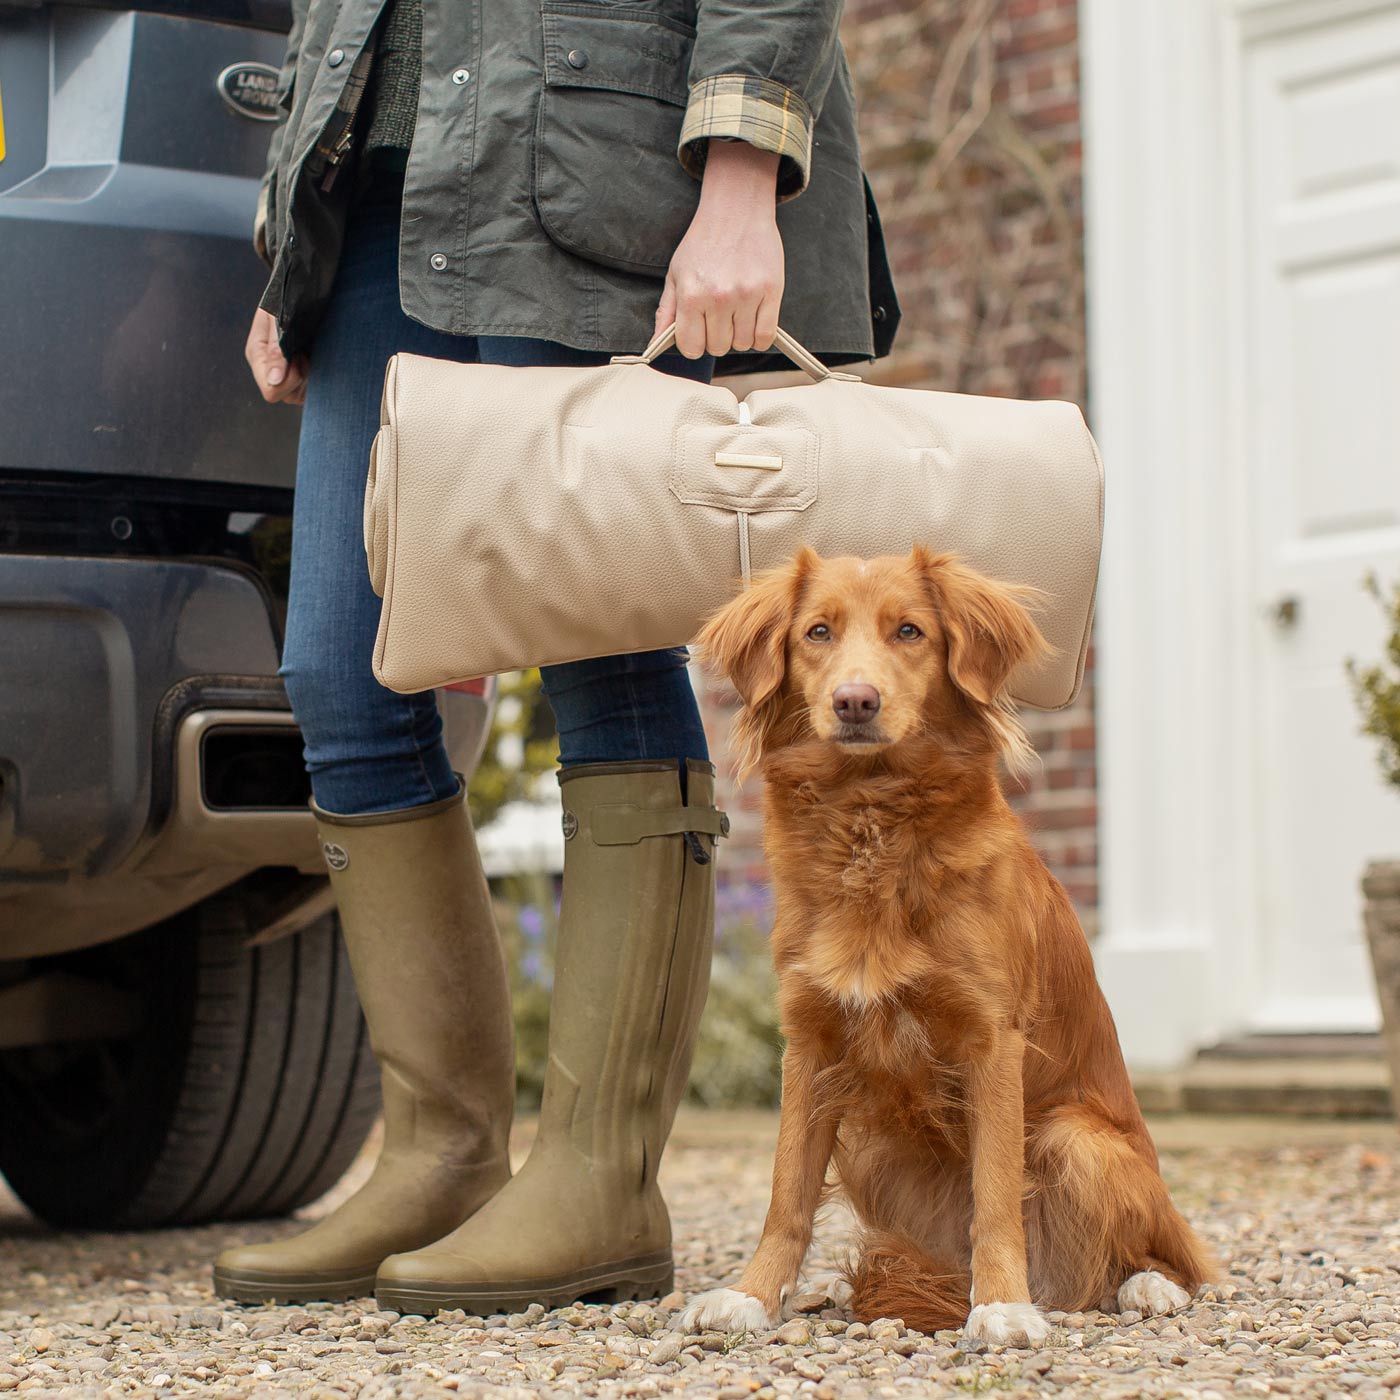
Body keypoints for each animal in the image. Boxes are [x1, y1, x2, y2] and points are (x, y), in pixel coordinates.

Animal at [677, 546, 1215, 1344]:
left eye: (910, 630)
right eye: (816, 633)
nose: (855, 702)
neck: (871, 818)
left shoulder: (992, 1042)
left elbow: (994, 1197)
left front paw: (1002, 1306)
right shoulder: (810, 1043)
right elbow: (786, 1193)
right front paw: (752, 1294)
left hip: (1076, 1139)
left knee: (1159, 1257)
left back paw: (1143, 1286)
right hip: (880, 1154)